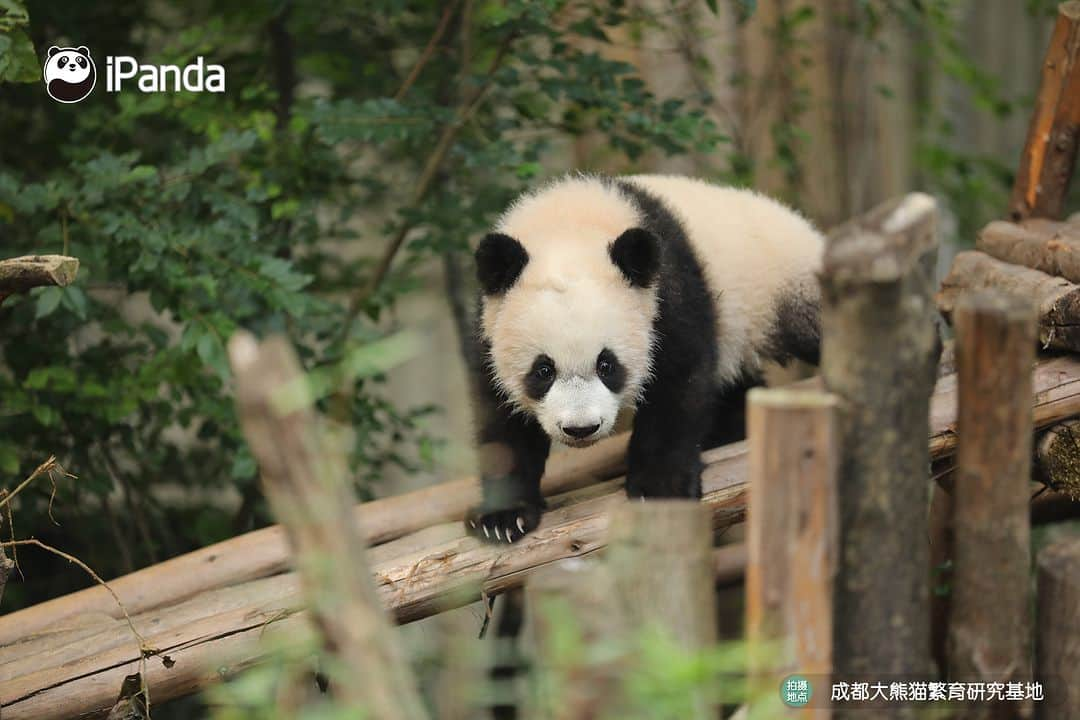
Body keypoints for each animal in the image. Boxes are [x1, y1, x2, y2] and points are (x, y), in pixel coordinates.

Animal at [466, 175, 825, 546]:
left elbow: (679, 384)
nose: (581, 429)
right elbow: (502, 425)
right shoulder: (489, 327)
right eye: (543, 370)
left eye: (606, 365)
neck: (569, 224)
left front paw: (659, 486)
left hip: (786, 288)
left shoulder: (666, 296)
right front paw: (504, 516)